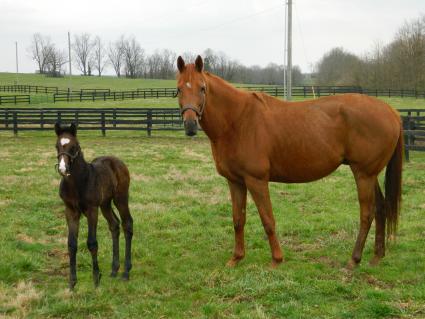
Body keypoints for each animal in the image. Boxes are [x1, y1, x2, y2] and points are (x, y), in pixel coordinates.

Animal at [54, 122, 132, 290]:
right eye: (57, 146)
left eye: (74, 146)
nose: (63, 169)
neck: (78, 183)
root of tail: (117, 161)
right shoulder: (70, 211)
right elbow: (72, 244)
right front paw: (72, 283)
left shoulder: (91, 210)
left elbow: (92, 243)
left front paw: (96, 279)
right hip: (105, 204)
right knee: (114, 225)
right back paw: (114, 269)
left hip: (120, 198)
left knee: (127, 224)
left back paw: (126, 272)